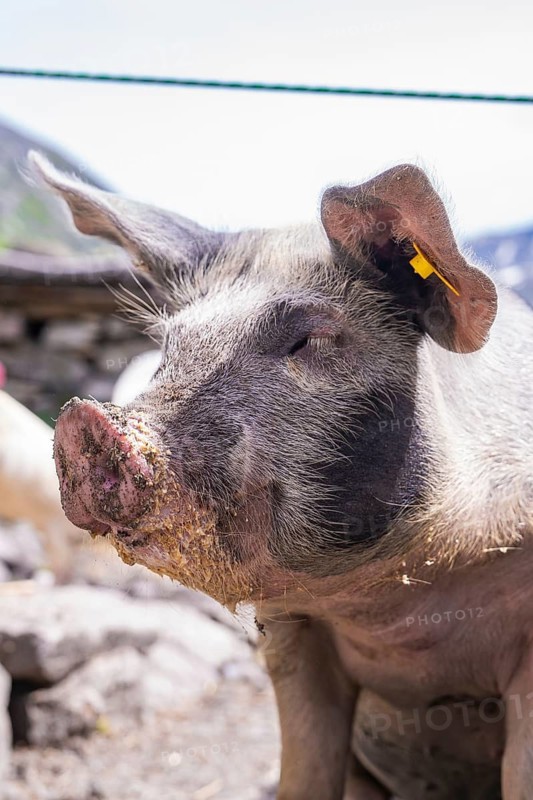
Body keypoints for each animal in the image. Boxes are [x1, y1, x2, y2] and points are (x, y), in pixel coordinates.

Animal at [30, 151, 532, 800]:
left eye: (309, 338)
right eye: (168, 346)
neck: (400, 598)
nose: (81, 421)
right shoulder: (291, 631)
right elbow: (305, 768)